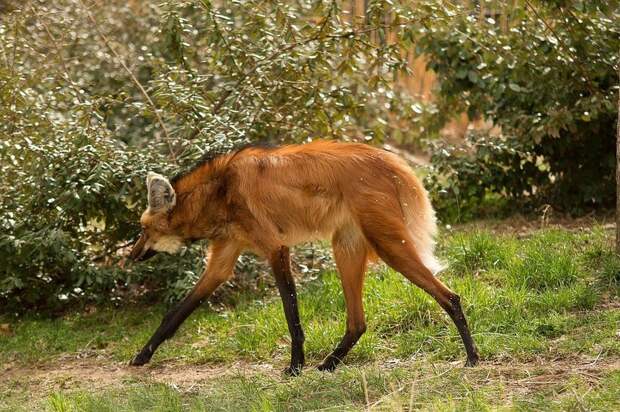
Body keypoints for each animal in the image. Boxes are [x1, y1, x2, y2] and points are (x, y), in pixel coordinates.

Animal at [128, 140, 480, 374]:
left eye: (143, 229)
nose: (131, 256)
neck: (219, 193)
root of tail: (393, 161)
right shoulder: (224, 256)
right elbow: (176, 313)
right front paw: (142, 355)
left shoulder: (275, 248)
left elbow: (290, 311)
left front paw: (295, 366)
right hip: (346, 247)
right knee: (358, 321)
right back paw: (329, 363)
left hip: (388, 244)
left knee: (450, 297)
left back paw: (472, 357)